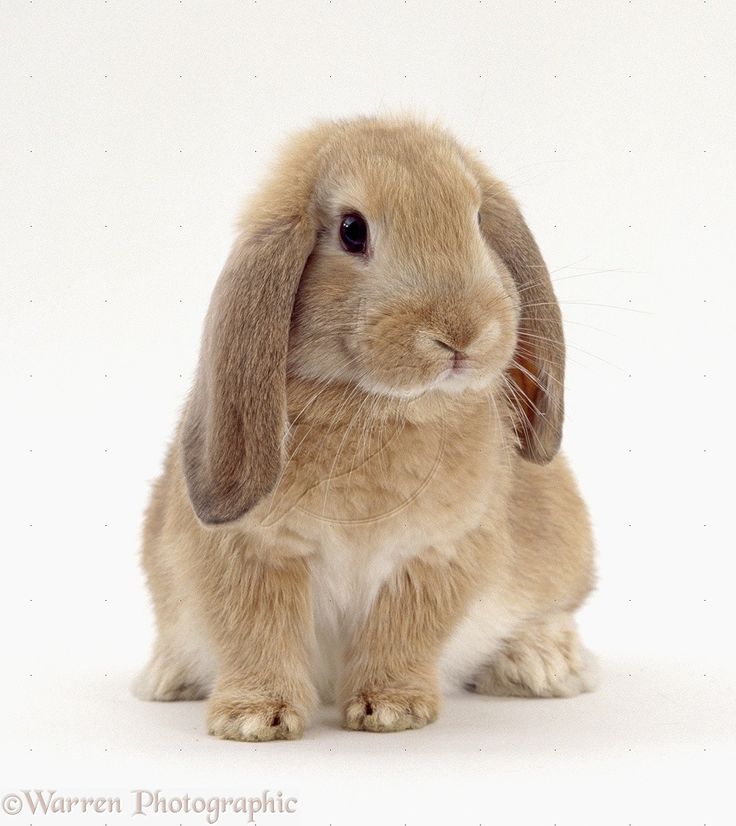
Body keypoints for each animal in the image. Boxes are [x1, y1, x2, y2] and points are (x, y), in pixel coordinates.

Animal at [135, 116, 596, 740]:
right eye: (352, 231)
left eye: (478, 219)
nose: (462, 333)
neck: (376, 409)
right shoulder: (251, 555)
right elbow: (257, 635)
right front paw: (254, 718)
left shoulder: (433, 556)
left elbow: (402, 632)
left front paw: (391, 709)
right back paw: (164, 678)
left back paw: (544, 664)